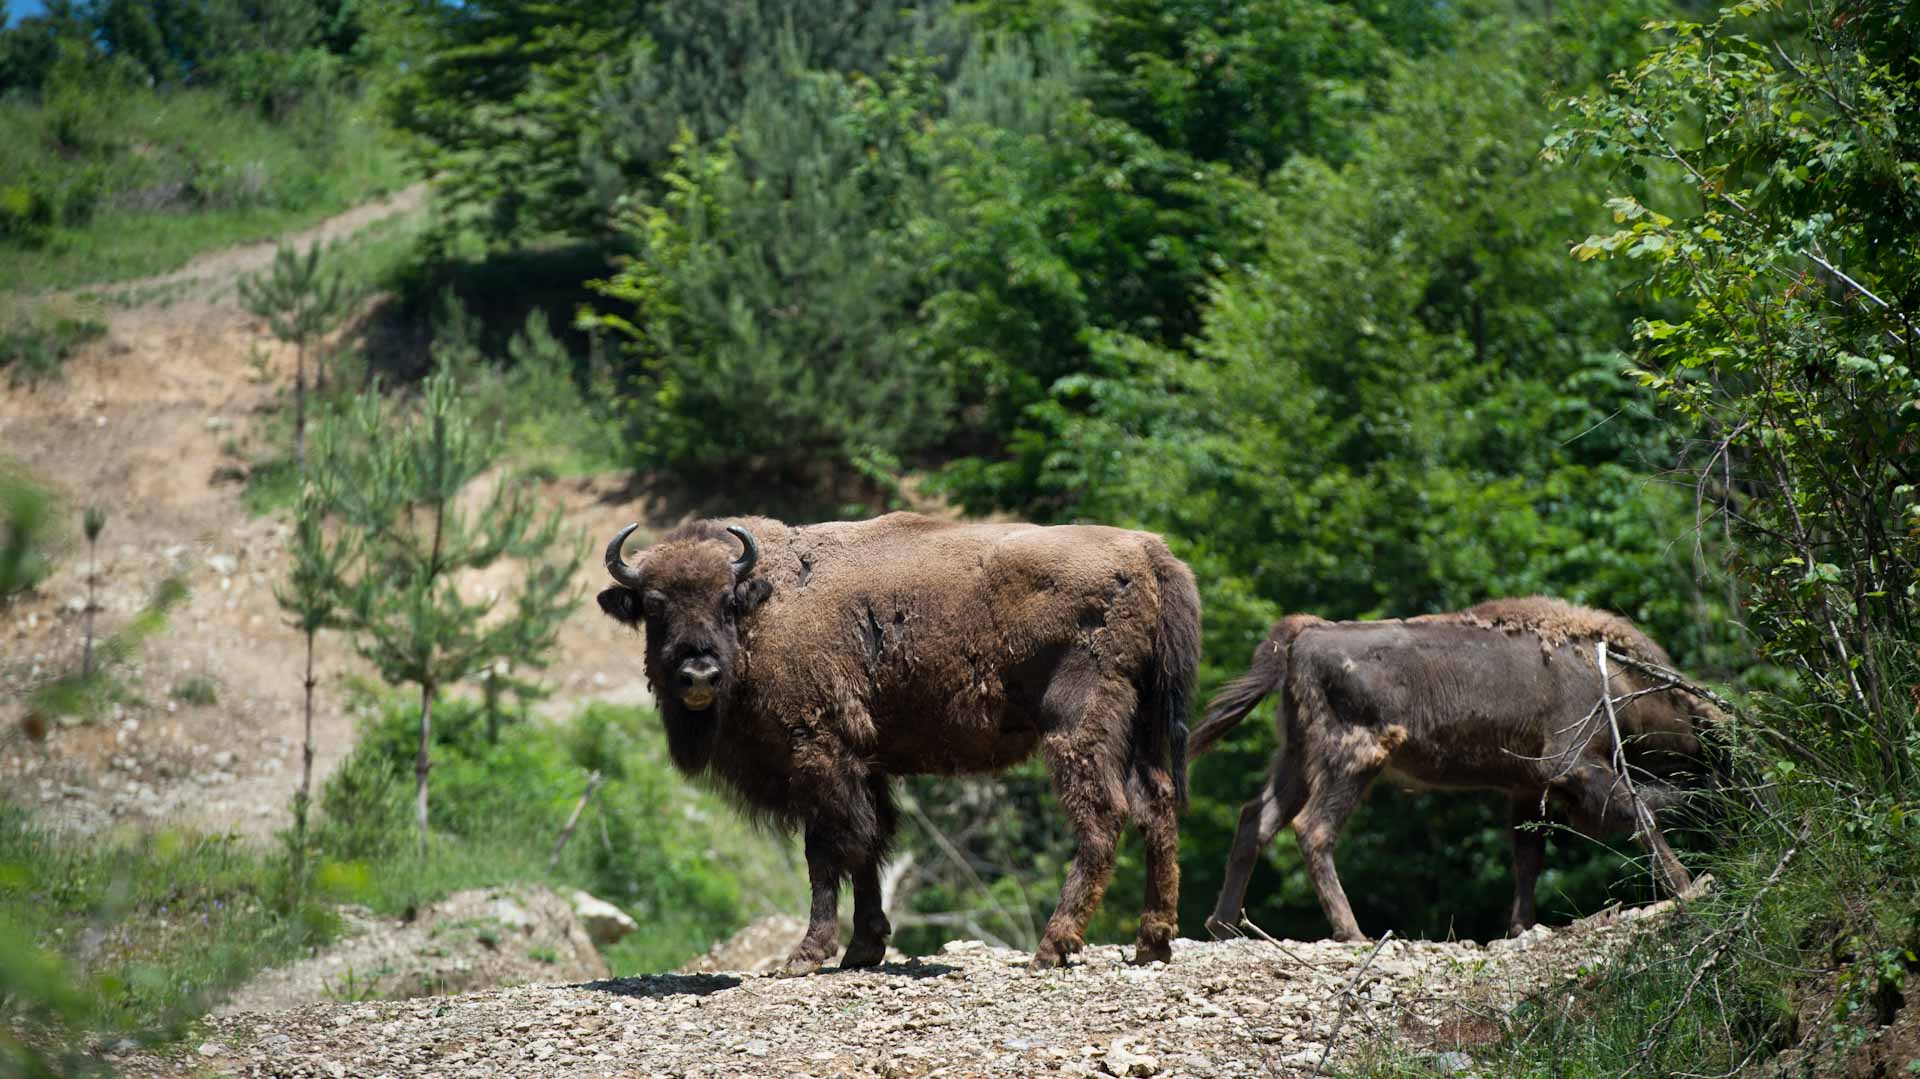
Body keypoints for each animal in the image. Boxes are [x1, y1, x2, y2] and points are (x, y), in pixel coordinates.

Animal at [596, 512, 1201, 971]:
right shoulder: (865, 766)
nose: (698, 675)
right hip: (1142, 729)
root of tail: (1147, 553)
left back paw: (1052, 948)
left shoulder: (818, 756)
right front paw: (863, 949)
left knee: (1103, 816)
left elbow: (827, 851)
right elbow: (870, 845)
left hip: (1079, 726)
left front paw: (807, 955)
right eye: (653, 605)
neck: (765, 606)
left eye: (726, 599)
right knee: (1157, 808)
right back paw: (1152, 943)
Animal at [1192, 597, 1717, 942]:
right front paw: (1684, 883)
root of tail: (1304, 634)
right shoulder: (1573, 765)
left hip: (1296, 758)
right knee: (1312, 828)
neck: (1610, 674)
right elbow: (1639, 813)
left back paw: (1222, 925)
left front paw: (1520, 927)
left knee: (1255, 819)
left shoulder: (1527, 789)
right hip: (1354, 758)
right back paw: (1353, 933)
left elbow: (1528, 858)